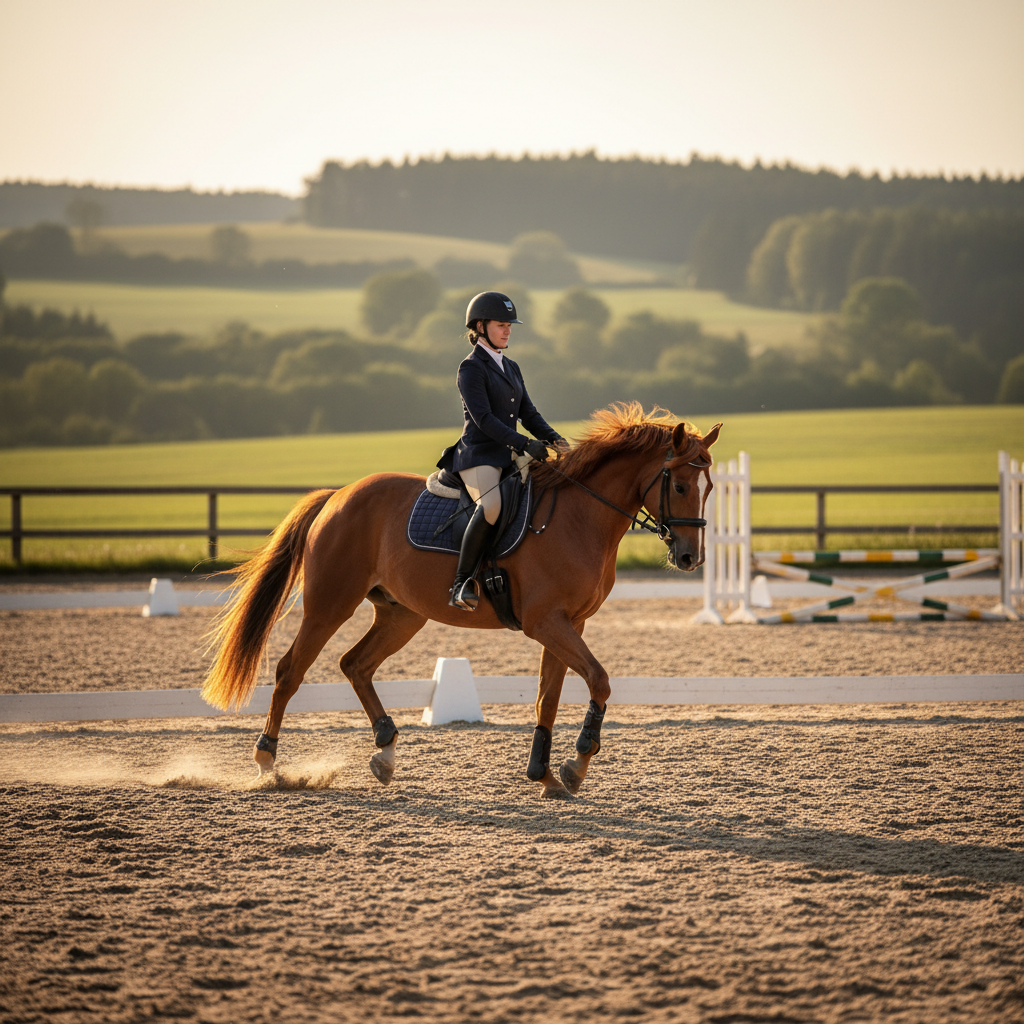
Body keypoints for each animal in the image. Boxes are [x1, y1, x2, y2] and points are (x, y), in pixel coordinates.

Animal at [201, 402, 721, 798]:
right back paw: (267, 764)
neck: (579, 517)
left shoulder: (568, 623)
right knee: (291, 671)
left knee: (355, 664)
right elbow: (599, 680)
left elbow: (547, 698)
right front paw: (575, 766)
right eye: (678, 485)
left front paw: (546, 777)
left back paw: (385, 752)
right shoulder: (546, 622)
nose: (690, 557)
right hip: (330, 604)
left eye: (710, 488)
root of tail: (338, 495)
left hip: (402, 614)